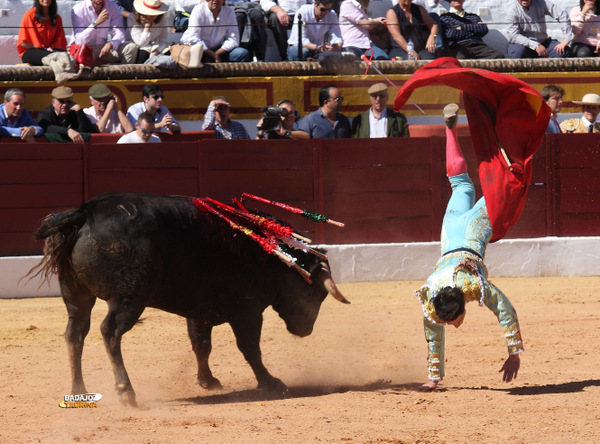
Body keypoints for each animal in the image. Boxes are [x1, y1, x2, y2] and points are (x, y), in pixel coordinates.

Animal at [31, 193, 352, 406]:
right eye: (317, 293)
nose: (305, 330)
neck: (267, 254)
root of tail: (86, 211)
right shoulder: (247, 311)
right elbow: (250, 349)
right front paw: (271, 383)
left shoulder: (200, 311)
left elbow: (201, 344)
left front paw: (207, 381)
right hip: (128, 298)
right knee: (109, 331)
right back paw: (126, 391)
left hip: (76, 296)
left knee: (75, 333)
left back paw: (79, 389)